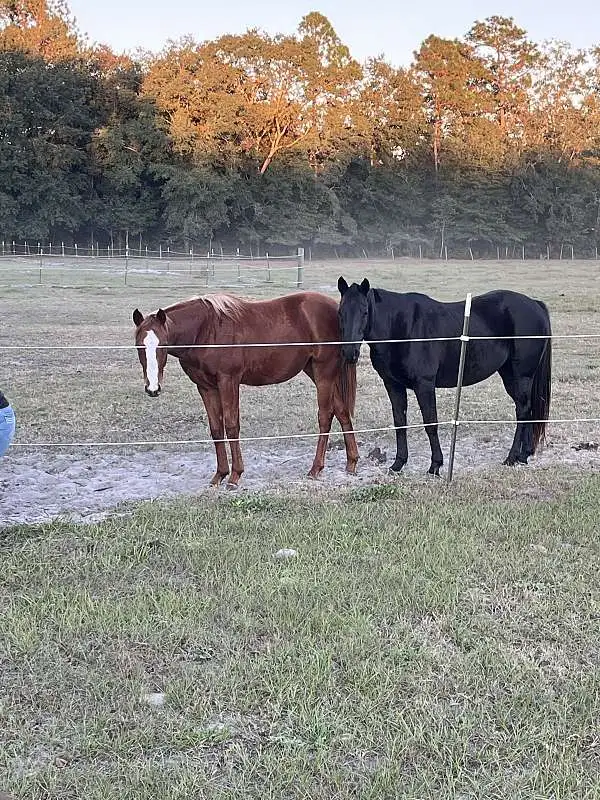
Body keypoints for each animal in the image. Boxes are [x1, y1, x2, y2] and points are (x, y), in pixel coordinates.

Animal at [132, 292, 359, 487]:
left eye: (162, 344)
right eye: (138, 345)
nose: (152, 388)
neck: (206, 330)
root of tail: (334, 308)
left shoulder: (228, 381)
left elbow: (232, 426)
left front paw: (235, 475)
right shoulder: (205, 387)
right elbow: (216, 428)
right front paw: (219, 475)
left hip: (323, 373)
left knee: (325, 416)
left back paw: (315, 468)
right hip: (315, 371)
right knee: (341, 411)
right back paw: (352, 462)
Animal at [337, 277, 552, 475]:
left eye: (365, 312)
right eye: (341, 313)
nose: (350, 353)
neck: (401, 328)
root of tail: (535, 304)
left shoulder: (424, 385)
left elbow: (430, 423)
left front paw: (435, 465)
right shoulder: (393, 385)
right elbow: (400, 422)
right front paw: (398, 463)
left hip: (520, 376)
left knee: (522, 411)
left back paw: (512, 457)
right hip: (512, 375)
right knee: (527, 410)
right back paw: (524, 455)